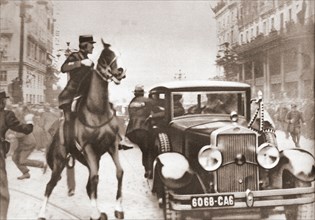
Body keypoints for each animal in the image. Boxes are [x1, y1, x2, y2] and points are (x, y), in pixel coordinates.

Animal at [37, 40, 125, 220]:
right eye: (107, 55)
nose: (120, 72)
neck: (97, 111)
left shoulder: (112, 145)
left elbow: (119, 172)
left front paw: (118, 209)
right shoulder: (89, 148)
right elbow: (95, 179)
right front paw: (95, 213)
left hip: (89, 159)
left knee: (88, 183)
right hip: (61, 161)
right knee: (50, 185)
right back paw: (42, 212)